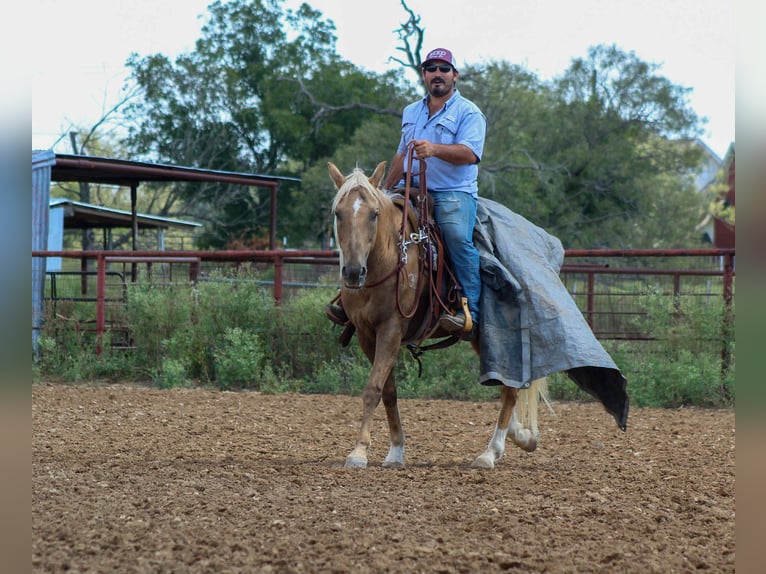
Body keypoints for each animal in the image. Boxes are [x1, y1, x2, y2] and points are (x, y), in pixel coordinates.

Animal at [328, 161, 548, 469]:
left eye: (374, 214)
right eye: (339, 213)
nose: (352, 272)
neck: (388, 259)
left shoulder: (391, 329)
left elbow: (373, 388)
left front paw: (359, 452)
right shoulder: (365, 333)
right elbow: (388, 391)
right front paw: (395, 451)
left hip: (491, 336)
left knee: (510, 389)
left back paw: (490, 452)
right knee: (510, 387)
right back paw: (521, 437)